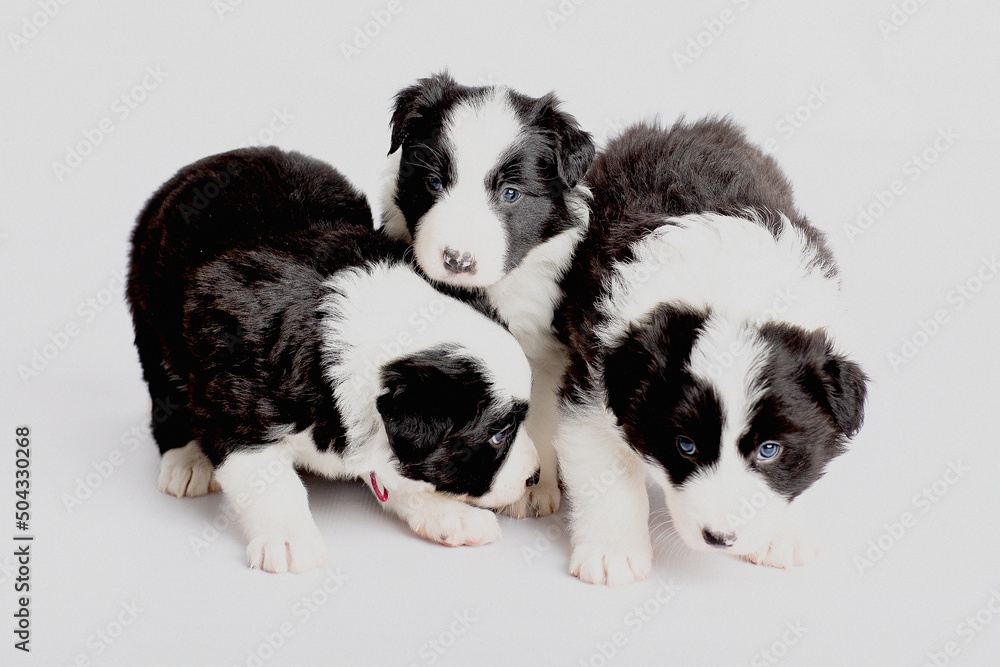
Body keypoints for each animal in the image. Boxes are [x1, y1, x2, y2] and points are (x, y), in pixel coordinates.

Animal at [130, 147, 544, 576]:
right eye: (498, 434)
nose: (535, 476)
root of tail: (209, 160)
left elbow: (390, 472)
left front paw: (448, 514)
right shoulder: (236, 404)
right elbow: (268, 479)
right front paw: (288, 540)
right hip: (152, 323)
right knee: (165, 393)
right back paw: (187, 459)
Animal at [380, 74, 592, 520]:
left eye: (510, 194)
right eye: (434, 182)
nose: (457, 260)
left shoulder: (546, 349)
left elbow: (540, 415)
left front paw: (535, 487)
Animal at [556, 120, 868, 584]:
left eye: (769, 449)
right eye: (685, 445)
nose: (720, 538)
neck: (737, 289)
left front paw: (781, 535)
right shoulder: (593, 376)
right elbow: (605, 469)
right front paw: (612, 552)